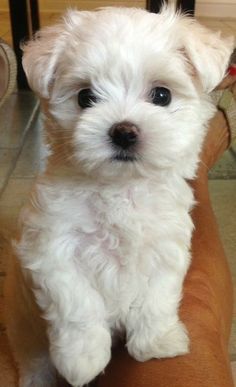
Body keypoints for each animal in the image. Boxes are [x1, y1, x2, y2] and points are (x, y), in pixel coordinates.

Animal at [4, 6, 233, 387]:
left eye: (161, 95)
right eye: (85, 97)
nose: (124, 132)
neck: (119, 188)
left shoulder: (166, 248)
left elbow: (157, 297)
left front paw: (156, 343)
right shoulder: (53, 249)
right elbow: (78, 304)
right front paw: (83, 360)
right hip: (23, 330)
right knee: (33, 361)